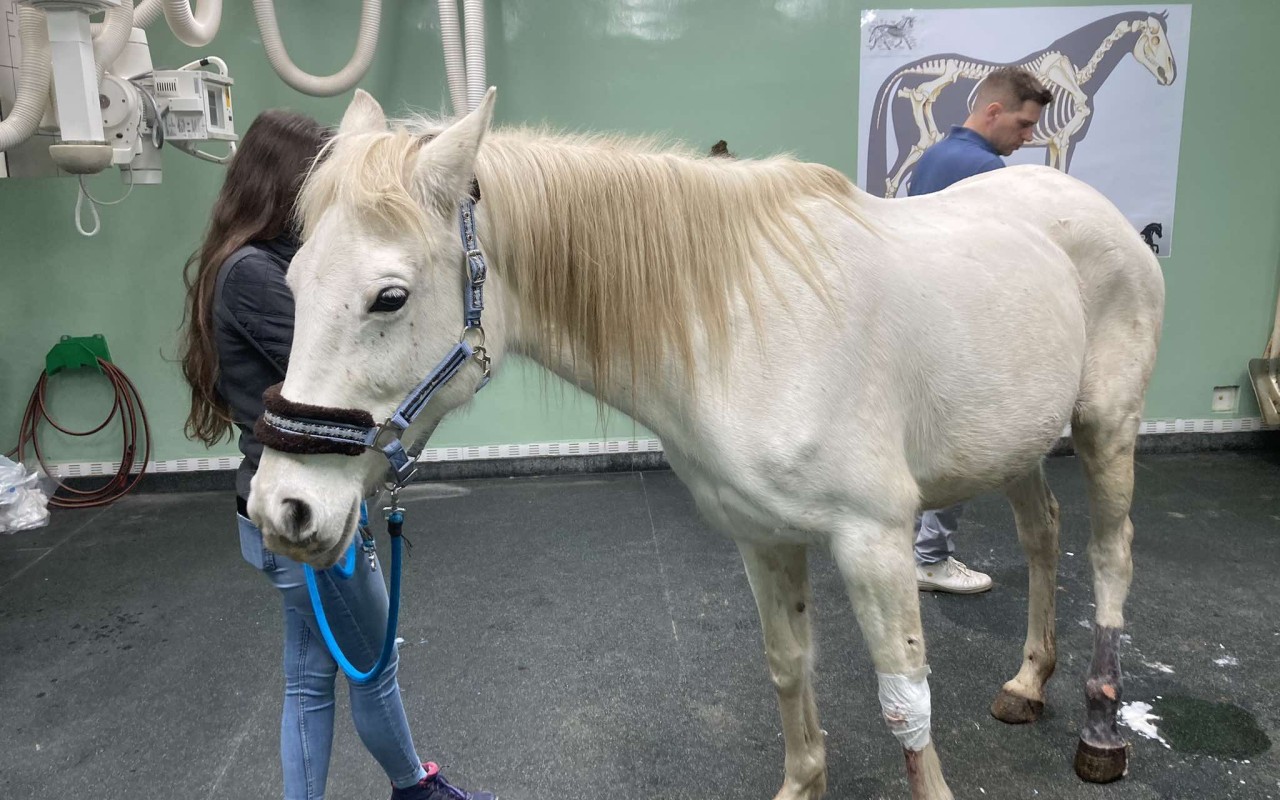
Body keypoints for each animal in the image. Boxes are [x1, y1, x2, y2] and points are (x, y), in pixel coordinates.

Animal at [244, 88, 1167, 798]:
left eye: (389, 297)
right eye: (292, 278)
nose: (283, 508)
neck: (748, 324)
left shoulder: (875, 540)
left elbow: (906, 700)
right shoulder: (764, 538)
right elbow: (789, 667)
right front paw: (803, 781)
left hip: (1106, 428)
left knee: (1112, 556)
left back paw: (1100, 729)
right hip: (1013, 446)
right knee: (1044, 535)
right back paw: (1029, 682)